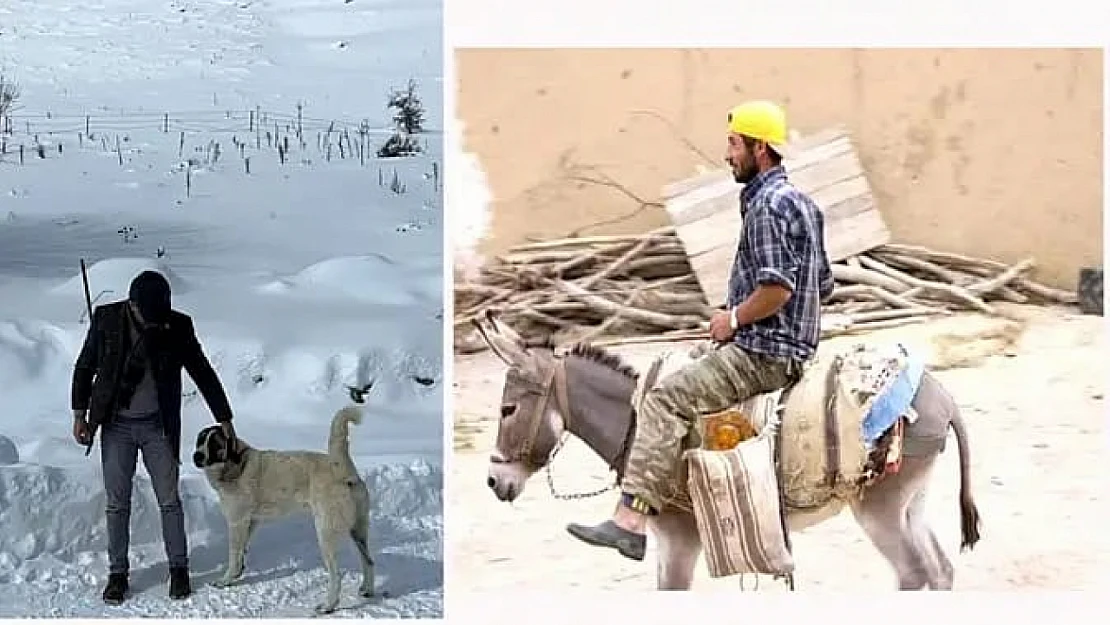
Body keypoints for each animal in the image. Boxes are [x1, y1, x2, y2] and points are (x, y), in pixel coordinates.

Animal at [195, 384, 377, 612]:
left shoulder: (237, 521)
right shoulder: (251, 522)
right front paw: (237, 573)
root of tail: (343, 469)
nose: (196, 456)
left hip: (326, 533)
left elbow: (234, 554)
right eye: (200, 440)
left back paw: (328, 605)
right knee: (369, 561)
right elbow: (242, 551)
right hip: (358, 531)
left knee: (337, 574)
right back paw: (367, 590)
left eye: (215, 444)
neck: (234, 463)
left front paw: (226, 579)